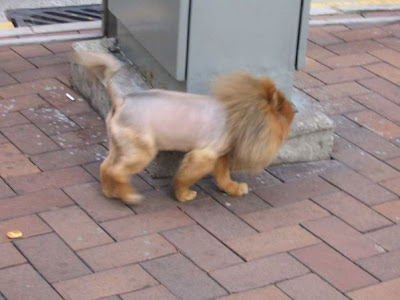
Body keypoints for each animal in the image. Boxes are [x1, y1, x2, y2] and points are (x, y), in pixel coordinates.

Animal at [74, 52, 294, 205]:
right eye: (287, 117)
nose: (295, 113)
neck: (240, 113)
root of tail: (120, 101)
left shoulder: (219, 156)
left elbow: (223, 177)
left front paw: (233, 189)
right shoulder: (203, 156)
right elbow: (183, 177)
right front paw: (183, 195)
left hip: (119, 146)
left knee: (105, 167)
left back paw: (110, 192)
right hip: (141, 152)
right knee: (117, 171)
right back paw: (129, 196)